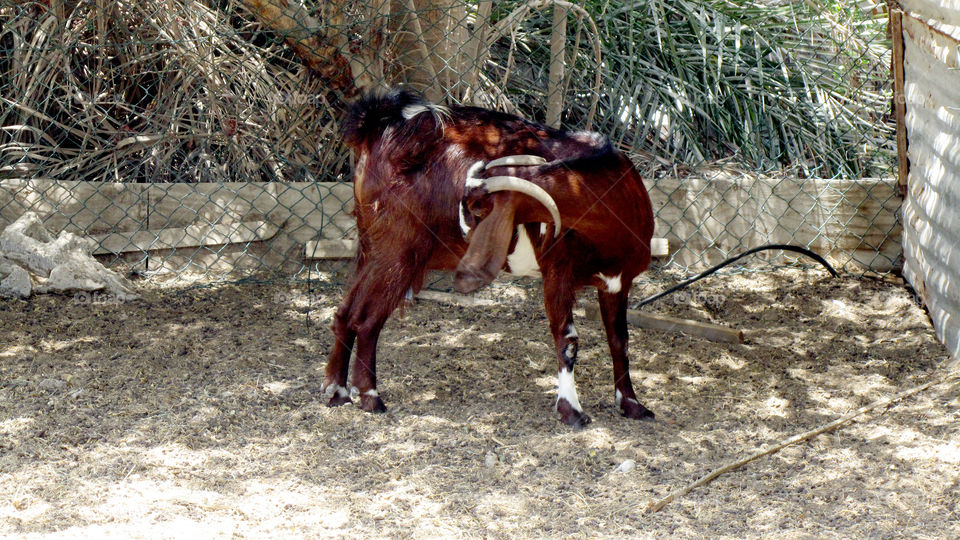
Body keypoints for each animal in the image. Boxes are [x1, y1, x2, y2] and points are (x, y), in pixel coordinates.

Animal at [324, 88, 655, 426]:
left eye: (477, 208)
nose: (464, 233)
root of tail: (378, 126)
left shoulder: (619, 281)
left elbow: (620, 340)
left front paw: (632, 404)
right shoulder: (557, 271)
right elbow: (567, 339)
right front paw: (572, 411)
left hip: (373, 248)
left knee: (346, 313)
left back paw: (338, 393)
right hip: (397, 252)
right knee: (368, 320)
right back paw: (370, 397)